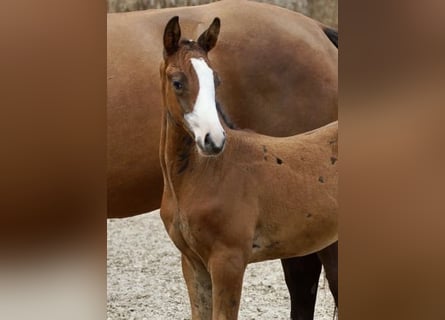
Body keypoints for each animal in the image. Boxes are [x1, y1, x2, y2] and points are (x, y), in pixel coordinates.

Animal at [107, 1, 336, 318]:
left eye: (216, 80)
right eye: (177, 82)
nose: (213, 140)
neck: (203, 174)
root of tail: (319, 29)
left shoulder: (228, 260)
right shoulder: (193, 263)